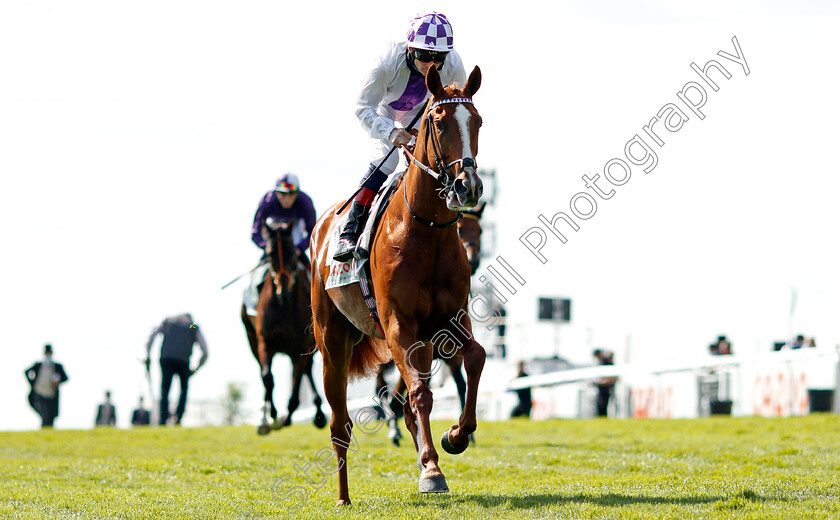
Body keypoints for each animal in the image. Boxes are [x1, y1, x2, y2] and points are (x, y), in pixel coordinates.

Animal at [241, 217, 326, 436]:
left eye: (292, 253)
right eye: (271, 253)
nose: (283, 292)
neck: (284, 308)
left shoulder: (301, 348)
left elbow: (296, 386)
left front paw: (285, 417)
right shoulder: (265, 342)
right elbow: (267, 378)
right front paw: (270, 417)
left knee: (306, 371)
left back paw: (318, 413)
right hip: (251, 340)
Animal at [312, 64, 486, 504]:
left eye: (477, 121)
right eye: (438, 122)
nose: (468, 186)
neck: (427, 231)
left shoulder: (450, 323)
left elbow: (475, 360)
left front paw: (455, 437)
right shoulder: (397, 326)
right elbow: (420, 395)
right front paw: (432, 470)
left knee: (404, 406)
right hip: (332, 343)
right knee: (340, 425)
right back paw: (343, 496)